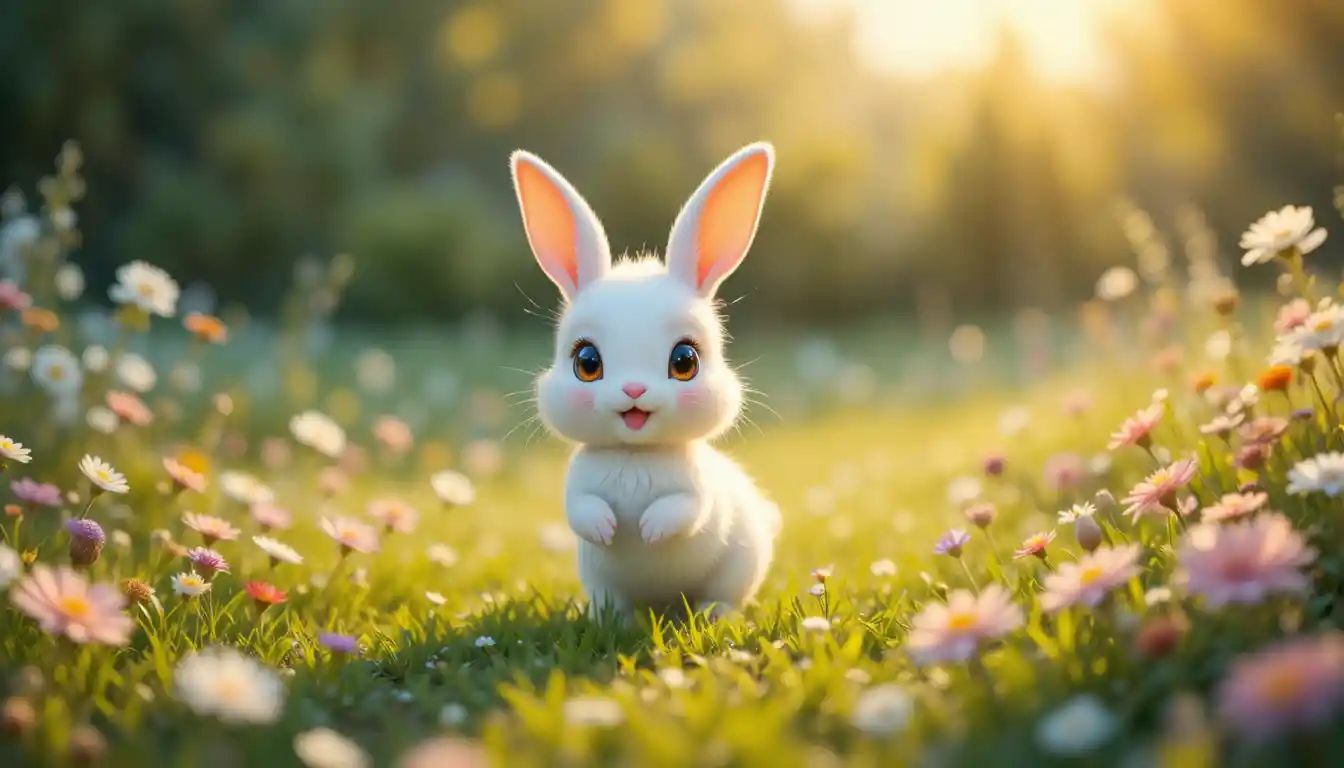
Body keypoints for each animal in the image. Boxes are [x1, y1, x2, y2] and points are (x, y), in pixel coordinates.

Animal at [508, 142, 783, 622]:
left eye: (685, 360)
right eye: (586, 361)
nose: (633, 392)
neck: (635, 456)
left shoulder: (697, 489)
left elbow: (686, 509)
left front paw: (650, 529)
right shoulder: (576, 484)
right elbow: (579, 509)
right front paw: (606, 527)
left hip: (739, 568)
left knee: (725, 596)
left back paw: (711, 614)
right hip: (600, 583)